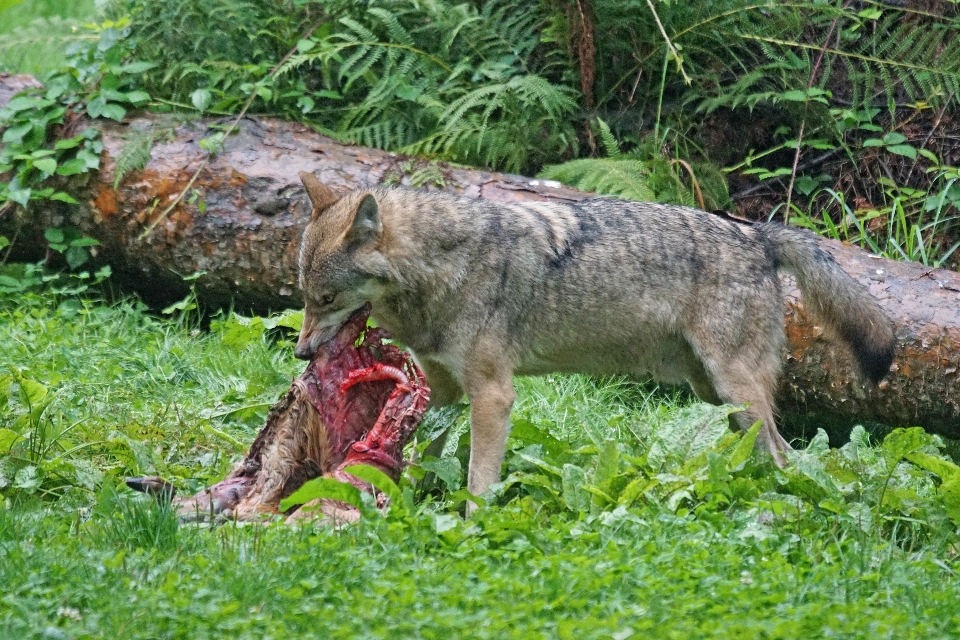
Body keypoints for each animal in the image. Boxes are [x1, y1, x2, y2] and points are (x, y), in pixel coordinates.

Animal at [294, 172, 900, 502]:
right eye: (303, 294)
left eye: (323, 299)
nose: (300, 351)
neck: (441, 268)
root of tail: (758, 234)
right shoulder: (442, 390)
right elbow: (424, 452)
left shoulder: (493, 395)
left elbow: (478, 481)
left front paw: (470, 527)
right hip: (716, 396)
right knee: (777, 452)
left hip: (736, 390)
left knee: (783, 456)